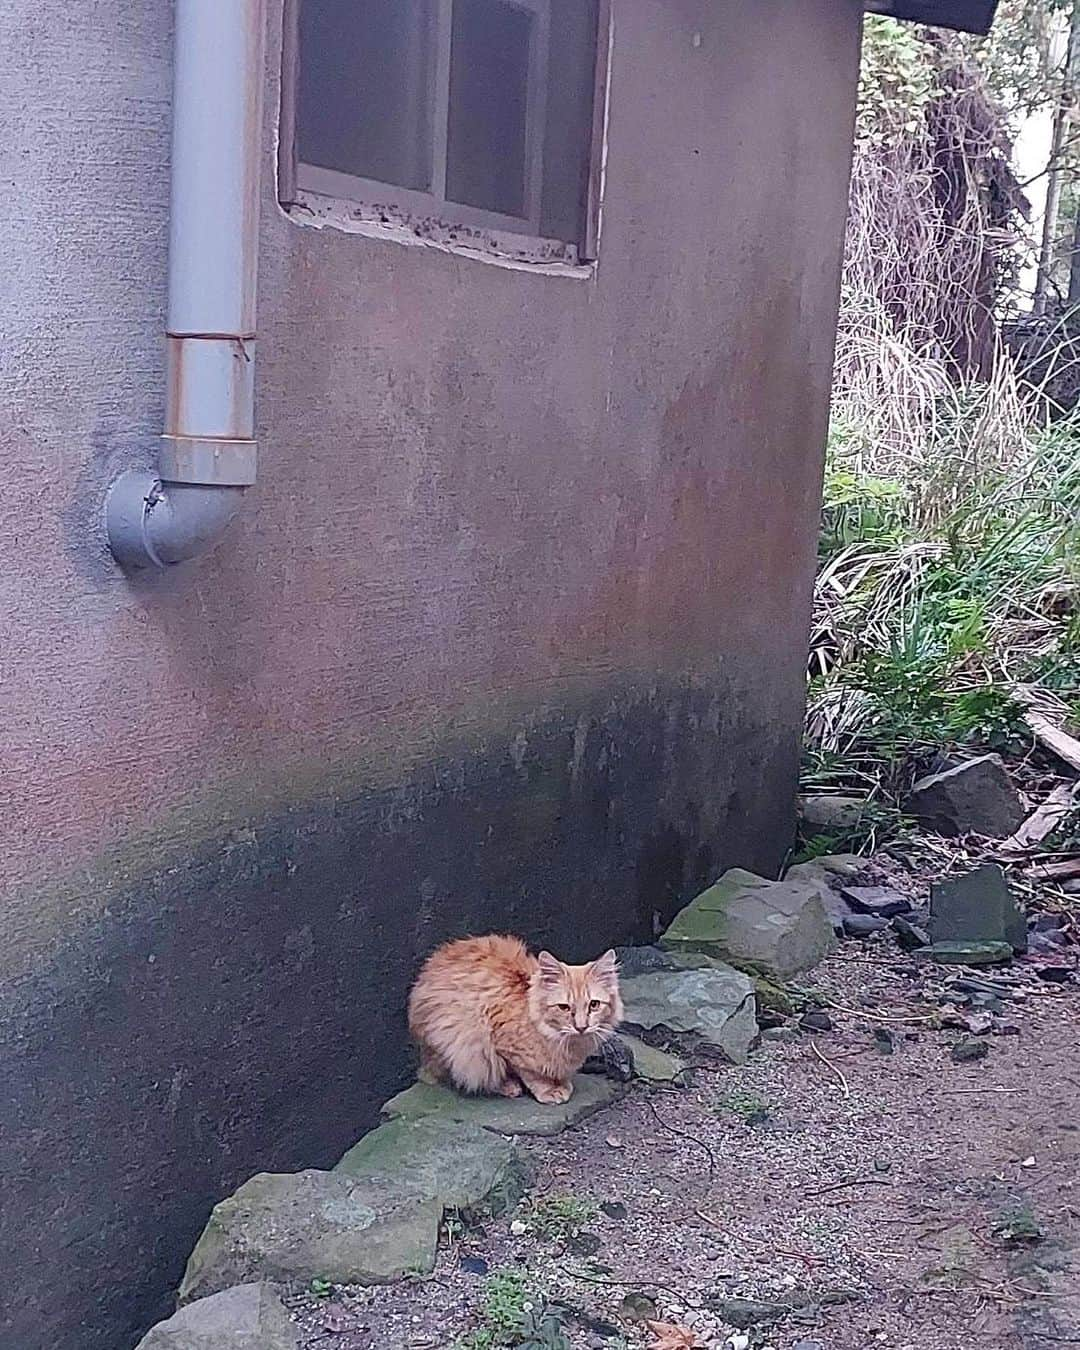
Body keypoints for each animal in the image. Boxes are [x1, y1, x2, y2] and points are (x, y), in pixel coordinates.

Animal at [407, 934, 623, 1101]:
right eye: (564, 1007)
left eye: (594, 1005)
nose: (581, 1027)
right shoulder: (506, 1046)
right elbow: (531, 1074)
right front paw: (549, 1090)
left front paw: (562, 1083)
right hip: (459, 1043)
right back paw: (508, 1087)